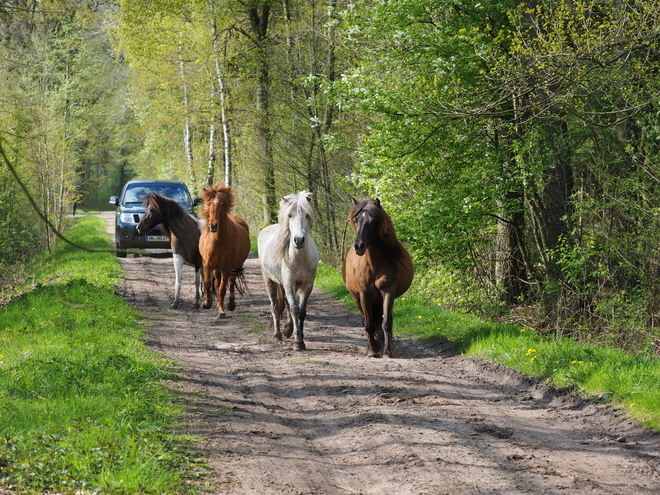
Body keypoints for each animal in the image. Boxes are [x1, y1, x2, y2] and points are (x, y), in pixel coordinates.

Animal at [199, 183, 250, 318]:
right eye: (209, 204)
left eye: (222, 204)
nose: (213, 225)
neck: (219, 241)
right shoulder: (208, 264)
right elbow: (208, 283)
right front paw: (207, 303)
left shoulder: (227, 267)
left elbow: (222, 289)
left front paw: (221, 311)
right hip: (216, 268)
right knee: (216, 283)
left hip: (235, 266)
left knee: (231, 281)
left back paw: (230, 304)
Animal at [258, 192, 320, 350]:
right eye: (290, 215)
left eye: (306, 215)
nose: (298, 240)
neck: (299, 258)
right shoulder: (289, 283)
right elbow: (294, 309)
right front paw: (298, 342)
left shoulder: (307, 285)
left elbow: (301, 311)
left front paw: (299, 337)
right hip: (269, 281)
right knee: (274, 306)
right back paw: (278, 334)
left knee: (285, 303)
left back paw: (287, 329)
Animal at [346, 198, 412, 356]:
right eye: (356, 220)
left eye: (372, 221)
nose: (358, 246)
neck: (374, 266)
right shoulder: (364, 295)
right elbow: (369, 324)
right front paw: (374, 348)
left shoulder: (388, 292)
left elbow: (386, 322)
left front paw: (387, 350)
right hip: (356, 298)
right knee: (364, 320)